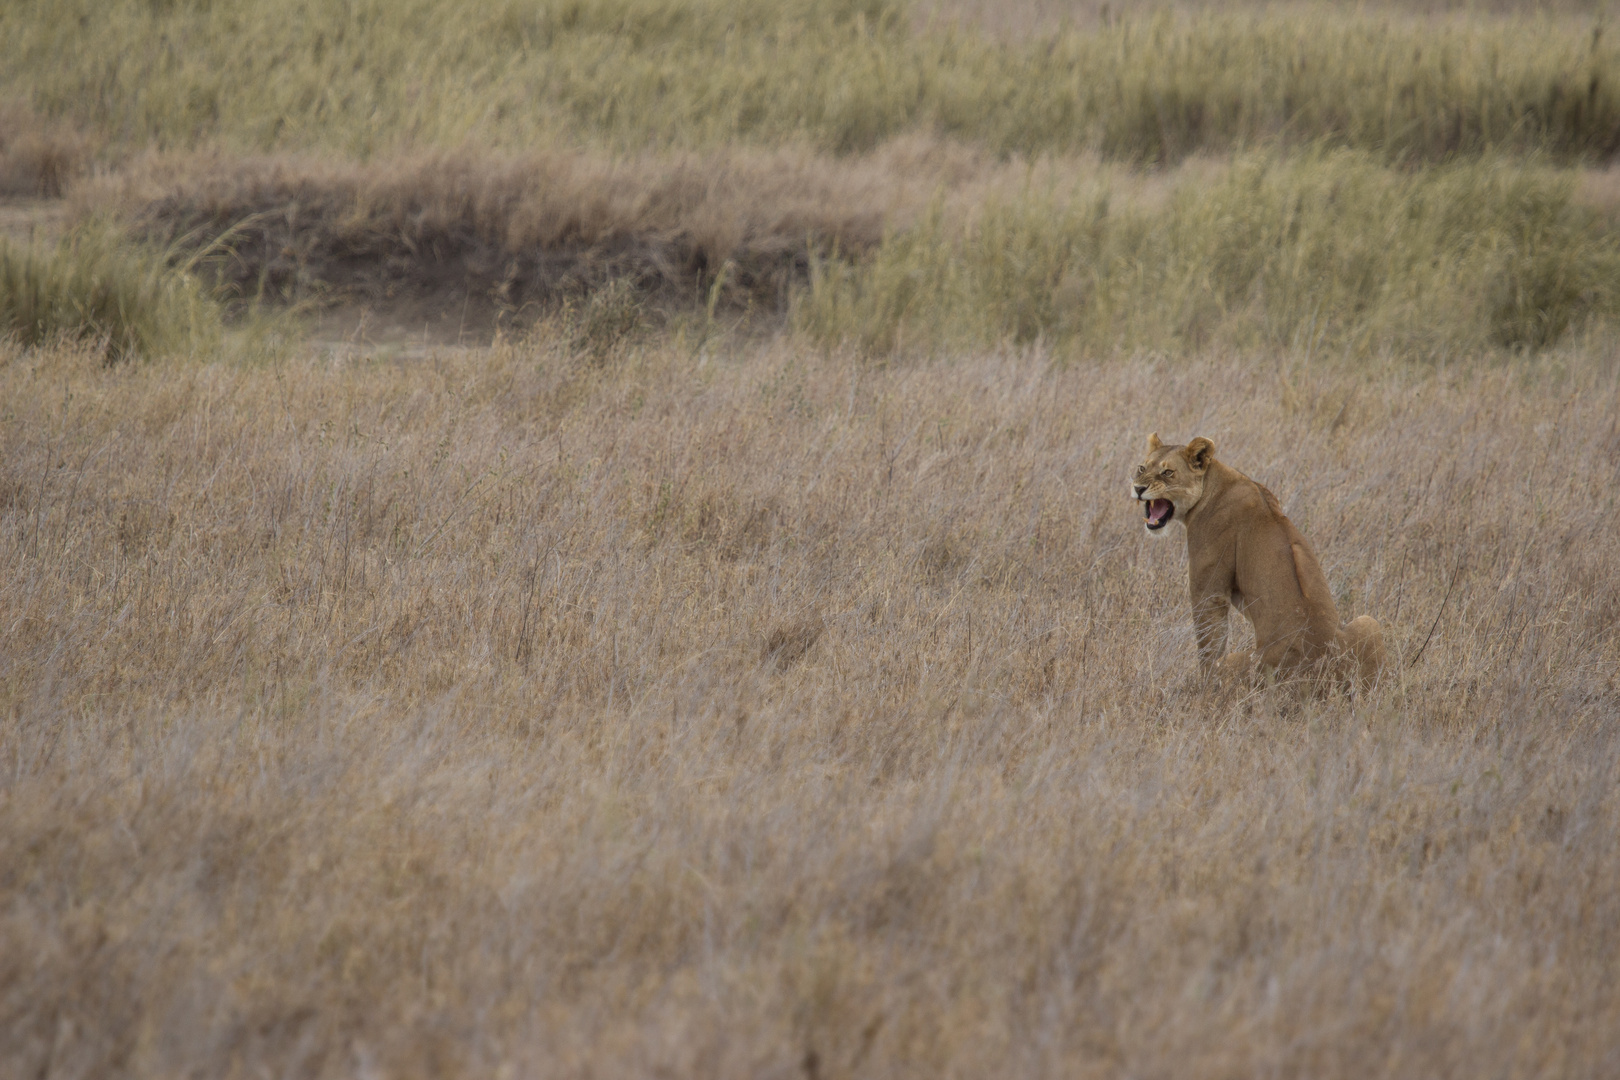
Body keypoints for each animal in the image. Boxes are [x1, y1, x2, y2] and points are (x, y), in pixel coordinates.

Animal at [1134, 433, 1386, 693]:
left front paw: (1201, 686)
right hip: (1369, 623)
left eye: (1168, 472)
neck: (1214, 482)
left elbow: (1208, 642)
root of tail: (1324, 670)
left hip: (1237, 662)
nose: (1138, 488)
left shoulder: (1209, 590)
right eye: (1142, 468)